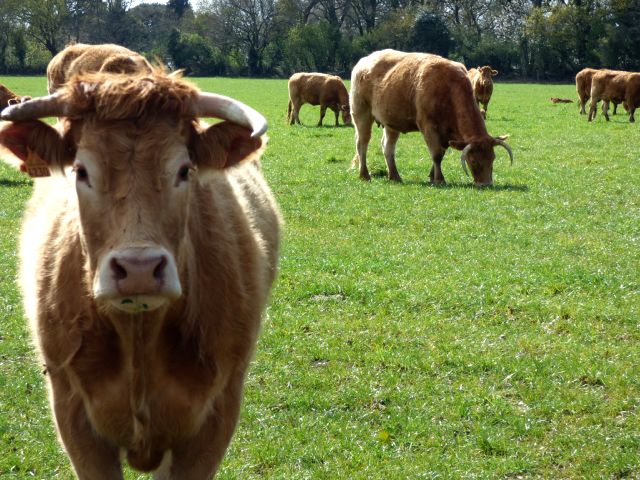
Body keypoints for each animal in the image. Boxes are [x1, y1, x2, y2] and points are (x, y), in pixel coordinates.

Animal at [0, 47, 280, 476]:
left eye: (184, 170)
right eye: (81, 171)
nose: (139, 270)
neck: (139, 334)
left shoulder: (215, 419)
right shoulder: (73, 416)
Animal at [352, 49, 512, 187]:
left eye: (493, 158)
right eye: (473, 161)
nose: (486, 184)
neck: (449, 87)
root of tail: (364, 61)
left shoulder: (447, 133)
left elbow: (441, 153)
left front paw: (431, 176)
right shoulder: (428, 126)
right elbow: (436, 154)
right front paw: (440, 179)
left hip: (392, 123)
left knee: (388, 147)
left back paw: (395, 176)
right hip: (362, 114)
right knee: (362, 144)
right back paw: (365, 175)